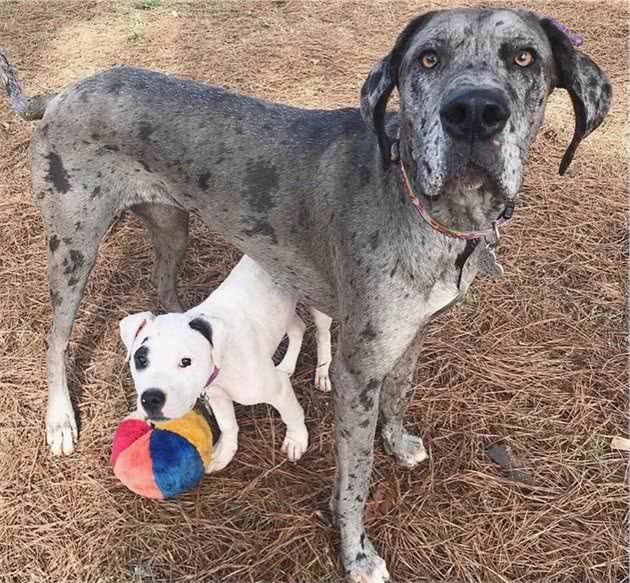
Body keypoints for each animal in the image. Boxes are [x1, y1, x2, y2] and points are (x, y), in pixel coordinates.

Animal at [120, 256, 334, 474]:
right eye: (141, 359)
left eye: (186, 361)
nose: (151, 399)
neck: (222, 360)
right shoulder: (217, 394)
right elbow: (227, 424)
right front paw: (224, 452)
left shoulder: (279, 390)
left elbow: (292, 415)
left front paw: (296, 440)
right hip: (284, 313)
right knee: (298, 327)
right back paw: (287, 366)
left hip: (319, 300)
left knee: (322, 332)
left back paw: (322, 372)